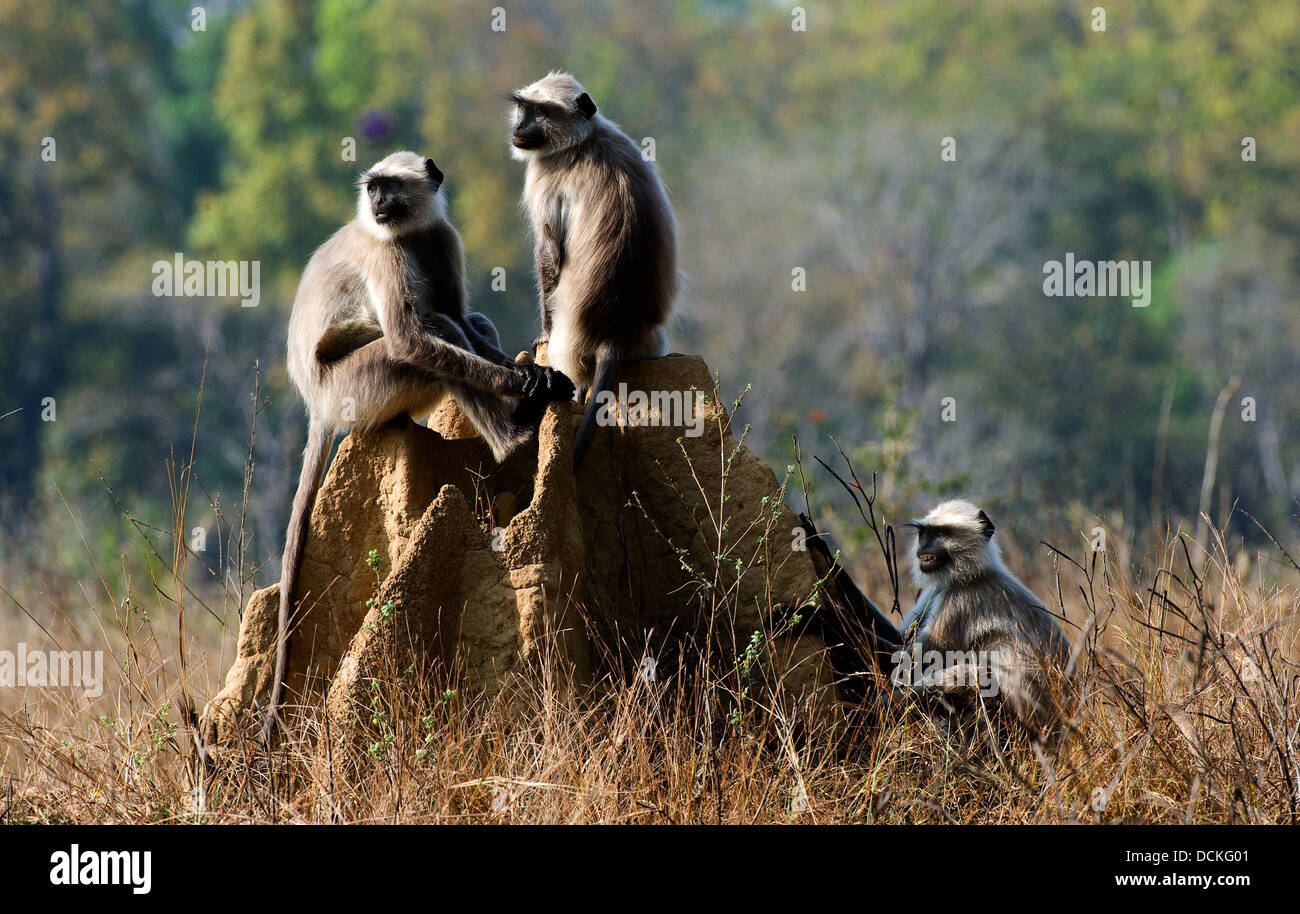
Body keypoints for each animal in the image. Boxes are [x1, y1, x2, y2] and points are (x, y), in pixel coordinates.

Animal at [269, 148, 574, 738]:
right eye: (373, 188)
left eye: (389, 187)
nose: (378, 203)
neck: (408, 231)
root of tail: (318, 405)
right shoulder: (386, 250)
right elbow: (413, 337)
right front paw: (523, 383)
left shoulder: (441, 236)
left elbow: (458, 313)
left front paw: (535, 374)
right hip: (362, 385)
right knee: (428, 332)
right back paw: (517, 438)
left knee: (461, 320)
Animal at [504, 72, 676, 468]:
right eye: (522, 108)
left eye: (539, 112)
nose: (519, 127)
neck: (585, 139)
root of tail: (615, 329)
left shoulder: (545, 177)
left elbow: (549, 254)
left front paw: (542, 334)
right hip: (649, 343)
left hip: (571, 347)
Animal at [894, 499, 1066, 738]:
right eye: (924, 534)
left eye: (940, 533)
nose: (924, 548)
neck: (973, 575)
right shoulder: (938, 589)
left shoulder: (960, 601)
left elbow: (916, 661)